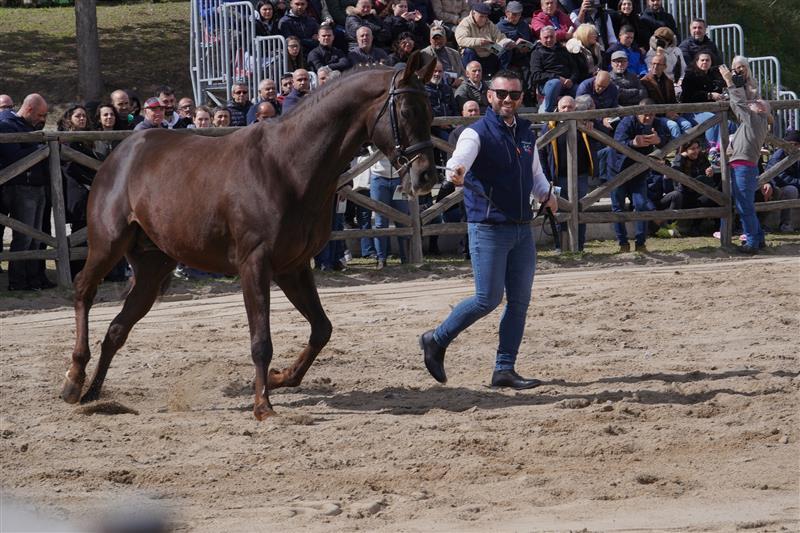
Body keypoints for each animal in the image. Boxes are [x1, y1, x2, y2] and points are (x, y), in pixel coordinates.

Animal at [61, 55, 438, 420]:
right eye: (406, 111)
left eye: (430, 111)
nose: (425, 175)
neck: (288, 166)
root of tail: (122, 152)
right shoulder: (254, 264)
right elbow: (261, 341)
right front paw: (263, 405)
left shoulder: (293, 267)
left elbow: (322, 328)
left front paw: (279, 378)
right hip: (108, 244)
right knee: (83, 290)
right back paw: (74, 379)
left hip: (154, 267)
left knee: (117, 328)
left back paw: (93, 394)